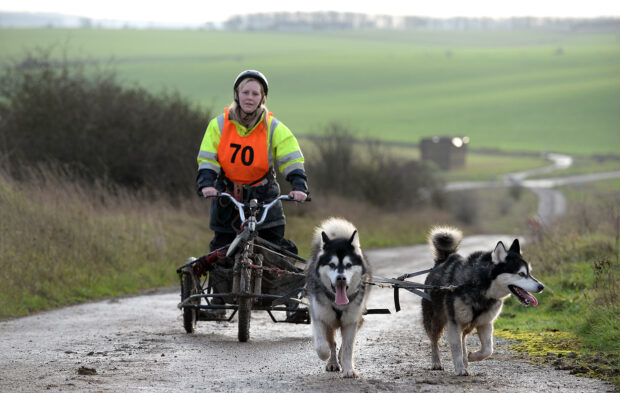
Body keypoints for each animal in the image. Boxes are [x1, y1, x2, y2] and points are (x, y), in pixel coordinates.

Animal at [306, 217, 370, 376]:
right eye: (331, 264)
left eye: (349, 265)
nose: (341, 278)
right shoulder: (319, 317)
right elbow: (322, 345)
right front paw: (326, 355)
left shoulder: (351, 322)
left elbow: (347, 348)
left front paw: (349, 369)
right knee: (332, 343)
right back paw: (332, 362)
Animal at [422, 225, 544, 376]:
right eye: (521, 274)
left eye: (529, 273)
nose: (541, 287)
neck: (481, 287)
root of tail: (442, 260)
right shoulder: (454, 322)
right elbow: (456, 348)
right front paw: (460, 368)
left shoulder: (486, 323)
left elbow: (488, 350)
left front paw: (472, 357)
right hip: (434, 320)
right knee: (434, 341)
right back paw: (436, 362)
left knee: (463, 340)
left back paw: (466, 361)